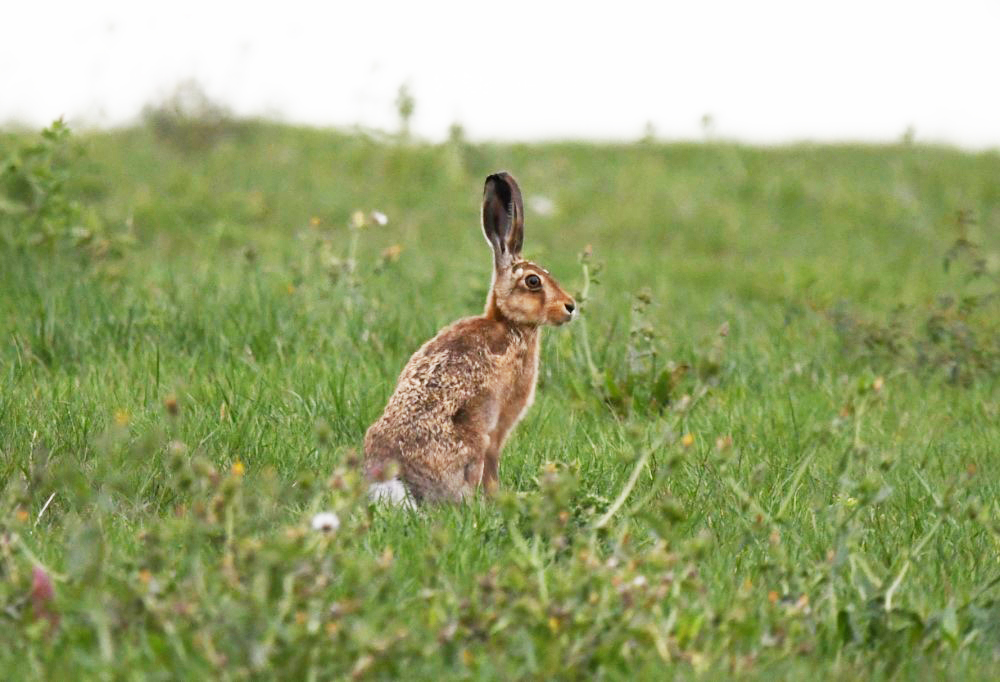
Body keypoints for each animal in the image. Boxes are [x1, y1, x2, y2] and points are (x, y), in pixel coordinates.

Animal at [364, 171, 577, 504]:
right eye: (533, 281)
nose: (570, 306)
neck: (510, 324)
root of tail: (397, 480)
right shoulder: (499, 424)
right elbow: (494, 465)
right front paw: (498, 498)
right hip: (473, 441)